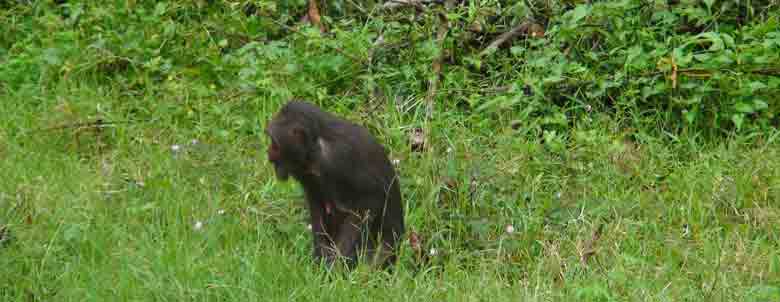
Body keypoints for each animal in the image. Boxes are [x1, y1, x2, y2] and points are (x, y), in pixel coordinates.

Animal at [266, 100, 406, 268]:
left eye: (274, 143)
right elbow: (316, 205)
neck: (315, 148)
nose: (269, 153)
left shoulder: (339, 159)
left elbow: (368, 202)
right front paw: (322, 258)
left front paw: (336, 263)